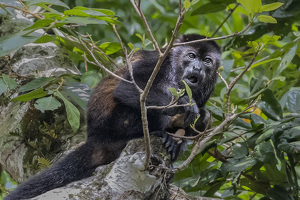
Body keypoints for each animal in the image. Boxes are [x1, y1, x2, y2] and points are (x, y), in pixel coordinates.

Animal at [4, 33, 220, 199]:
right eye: (191, 56)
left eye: (207, 61)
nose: (197, 68)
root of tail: (97, 138)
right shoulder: (157, 62)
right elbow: (127, 89)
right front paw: (184, 103)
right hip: (119, 123)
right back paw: (158, 133)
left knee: (203, 118)